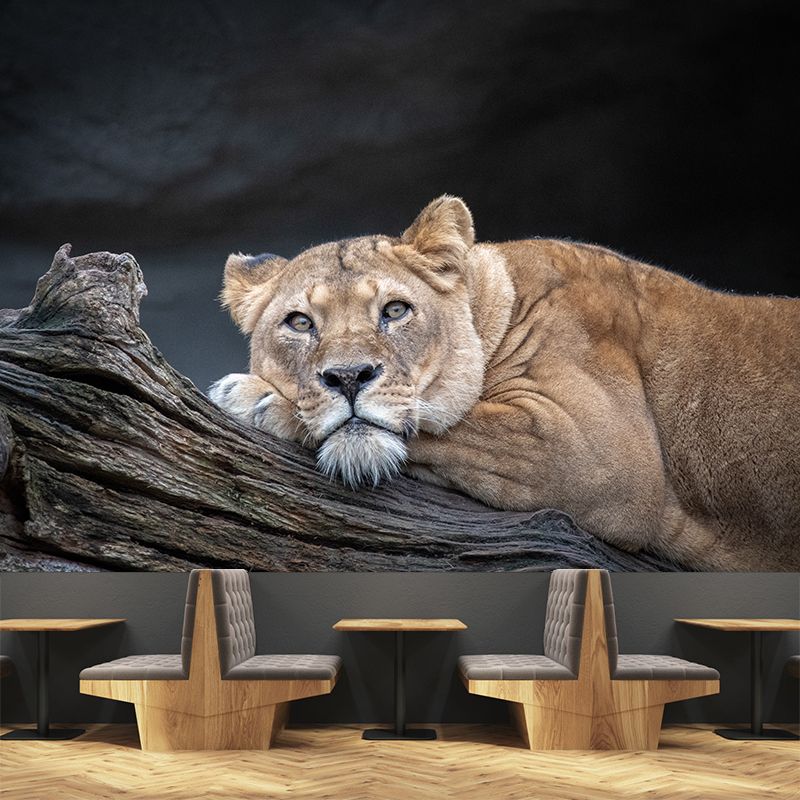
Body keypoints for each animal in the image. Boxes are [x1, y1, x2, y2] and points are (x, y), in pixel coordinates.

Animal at [209, 196, 800, 571]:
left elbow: (451, 422)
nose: (348, 377)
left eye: (395, 311)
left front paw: (254, 396)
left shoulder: (598, 448)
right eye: (299, 323)